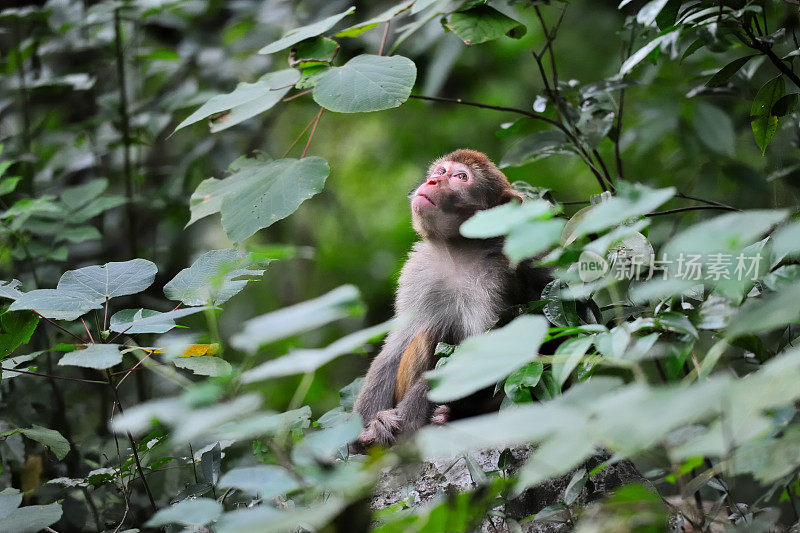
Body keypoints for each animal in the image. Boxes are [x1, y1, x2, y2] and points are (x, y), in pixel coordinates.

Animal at [354, 148, 552, 446]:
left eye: (461, 177)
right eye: (440, 172)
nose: (432, 182)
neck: (455, 253)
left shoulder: (496, 277)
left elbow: (490, 350)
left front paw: (408, 418)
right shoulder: (417, 270)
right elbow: (396, 343)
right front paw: (366, 428)